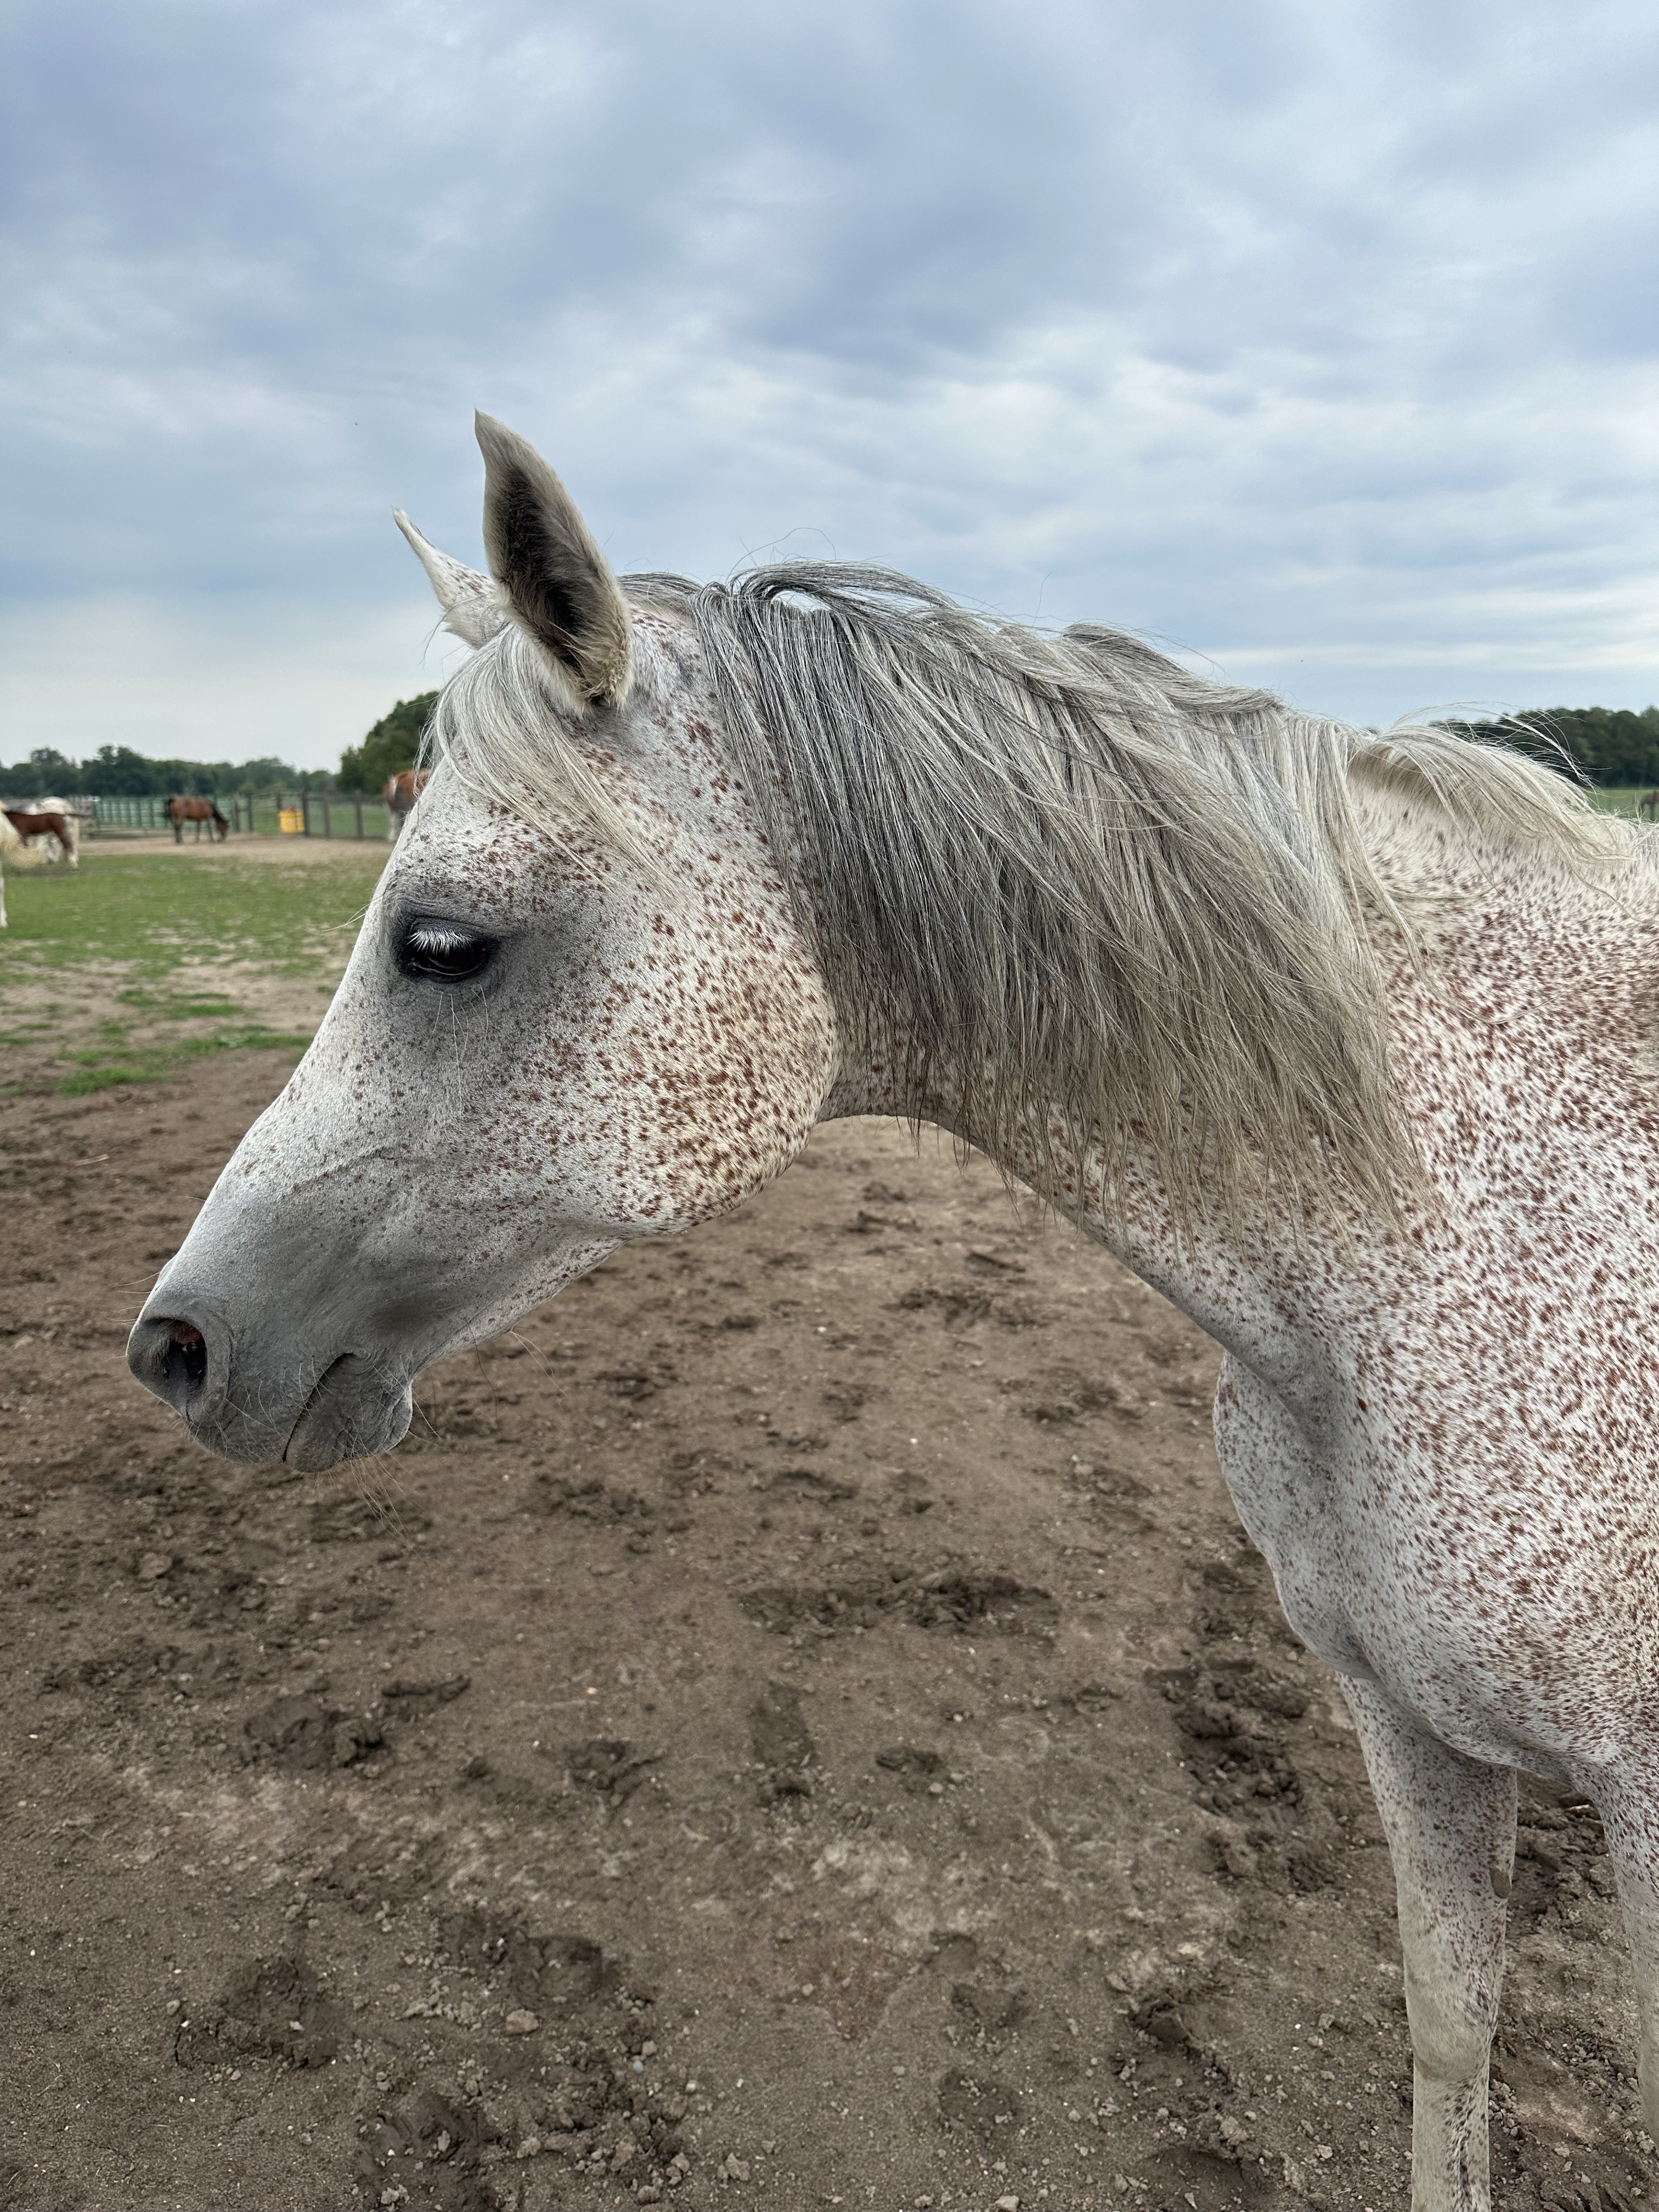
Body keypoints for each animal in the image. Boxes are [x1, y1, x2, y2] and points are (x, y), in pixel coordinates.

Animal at [3, 806, 77, 868]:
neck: (18, 819)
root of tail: (62, 815)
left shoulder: (24, 835)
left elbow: (25, 846)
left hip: (59, 831)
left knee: (67, 844)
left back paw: (72, 861)